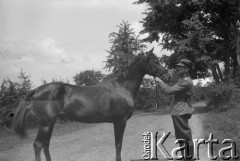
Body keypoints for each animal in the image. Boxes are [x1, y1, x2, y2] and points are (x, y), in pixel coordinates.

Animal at [12, 48, 170, 161]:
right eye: (155, 61)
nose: (167, 75)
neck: (122, 87)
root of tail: (37, 89)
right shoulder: (120, 121)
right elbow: (118, 145)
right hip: (45, 124)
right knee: (38, 145)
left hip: (49, 123)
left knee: (45, 145)